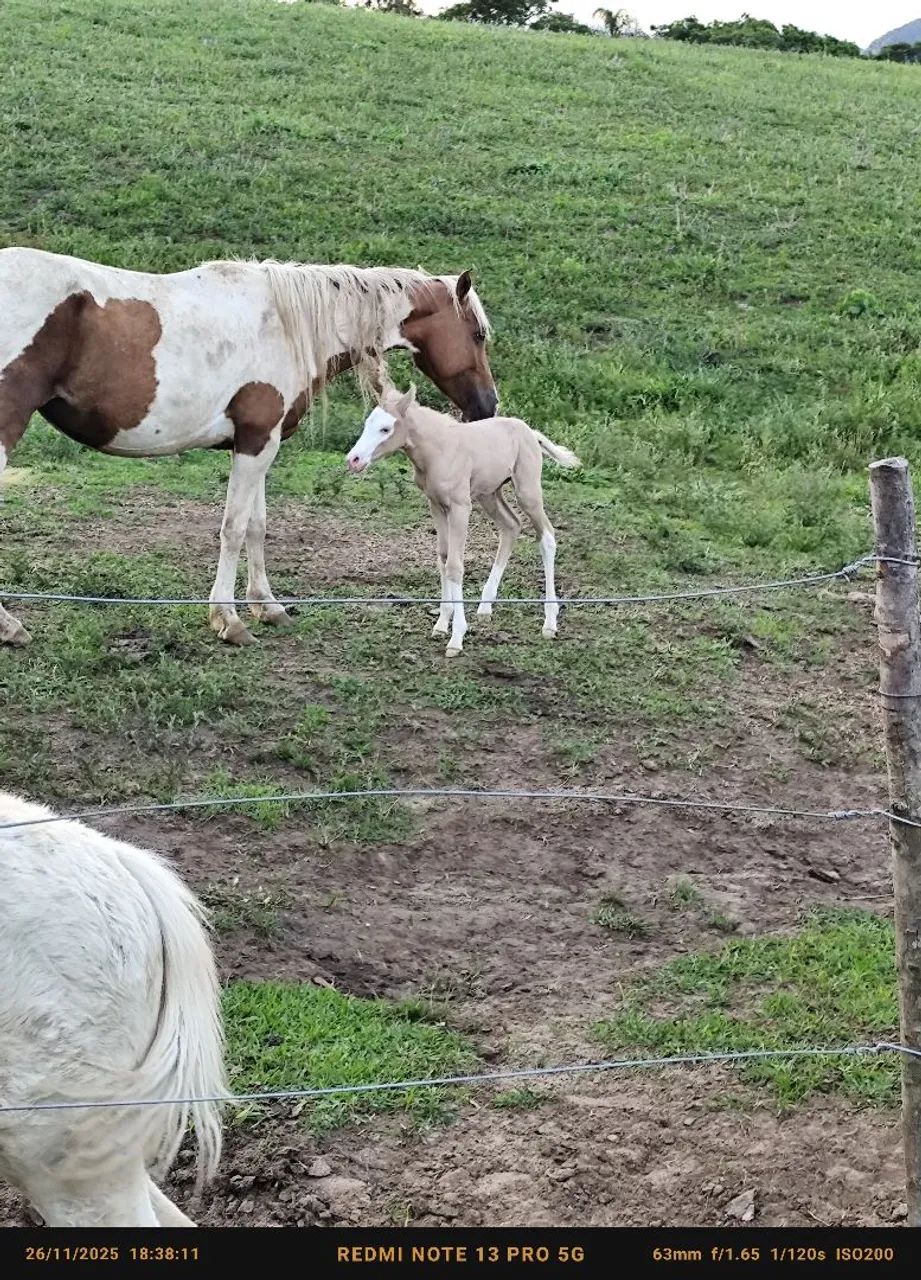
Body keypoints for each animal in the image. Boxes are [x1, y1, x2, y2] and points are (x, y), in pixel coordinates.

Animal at [0, 248, 497, 646]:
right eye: (477, 335)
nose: (488, 406)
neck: (284, 323)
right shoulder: (256, 442)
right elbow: (234, 529)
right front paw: (229, 620)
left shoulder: (260, 443)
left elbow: (257, 526)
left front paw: (267, 606)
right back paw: (11, 626)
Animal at [346, 384, 580, 656]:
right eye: (367, 423)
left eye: (385, 429)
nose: (353, 460)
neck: (439, 450)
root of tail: (530, 432)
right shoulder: (436, 505)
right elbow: (443, 557)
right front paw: (441, 624)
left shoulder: (460, 507)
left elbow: (455, 566)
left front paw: (456, 637)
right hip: (489, 494)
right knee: (511, 526)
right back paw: (485, 605)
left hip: (527, 491)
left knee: (547, 538)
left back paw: (550, 622)